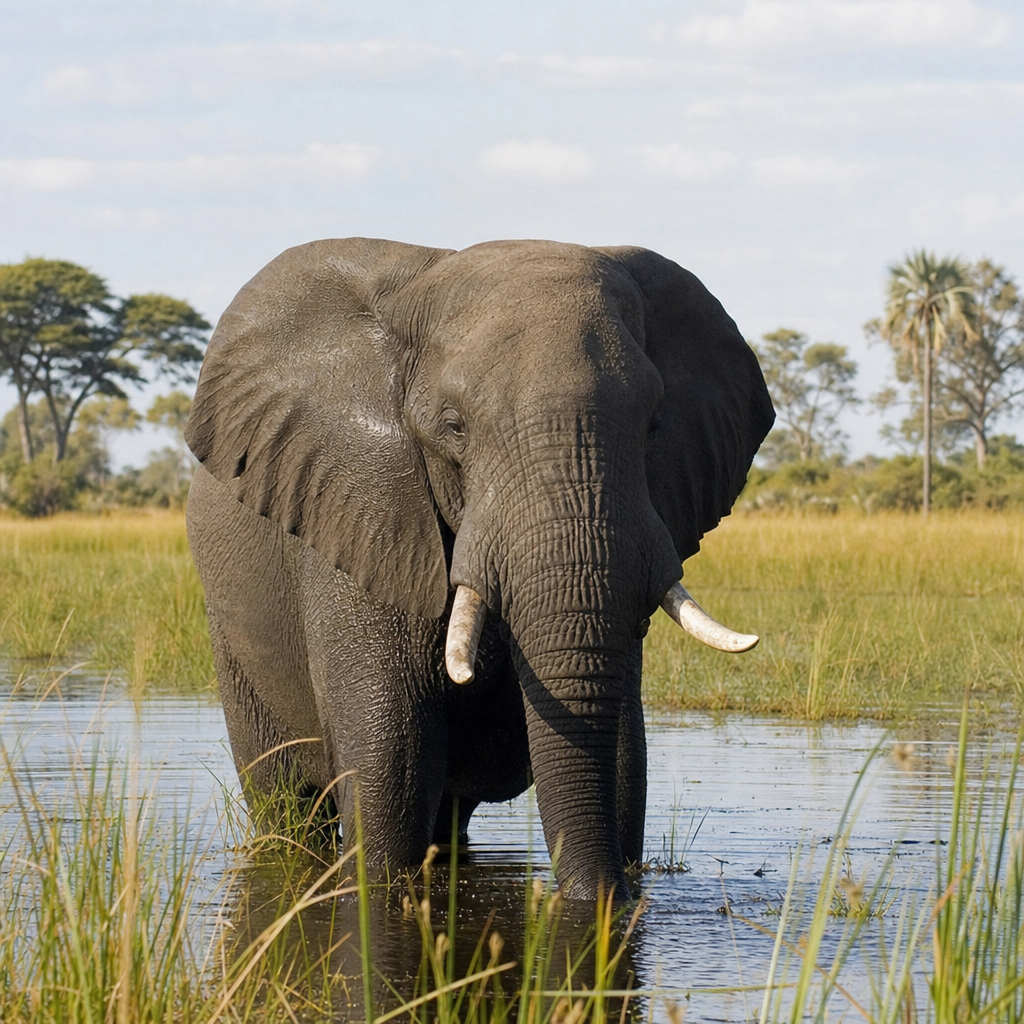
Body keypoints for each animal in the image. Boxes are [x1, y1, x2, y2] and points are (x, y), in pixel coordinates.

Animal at [184, 237, 774, 900]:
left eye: (653, 425)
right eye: (454, 427)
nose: (597, 895)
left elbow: (625, 749)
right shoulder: (357, 502)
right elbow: (391, 762)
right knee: (288, 809)